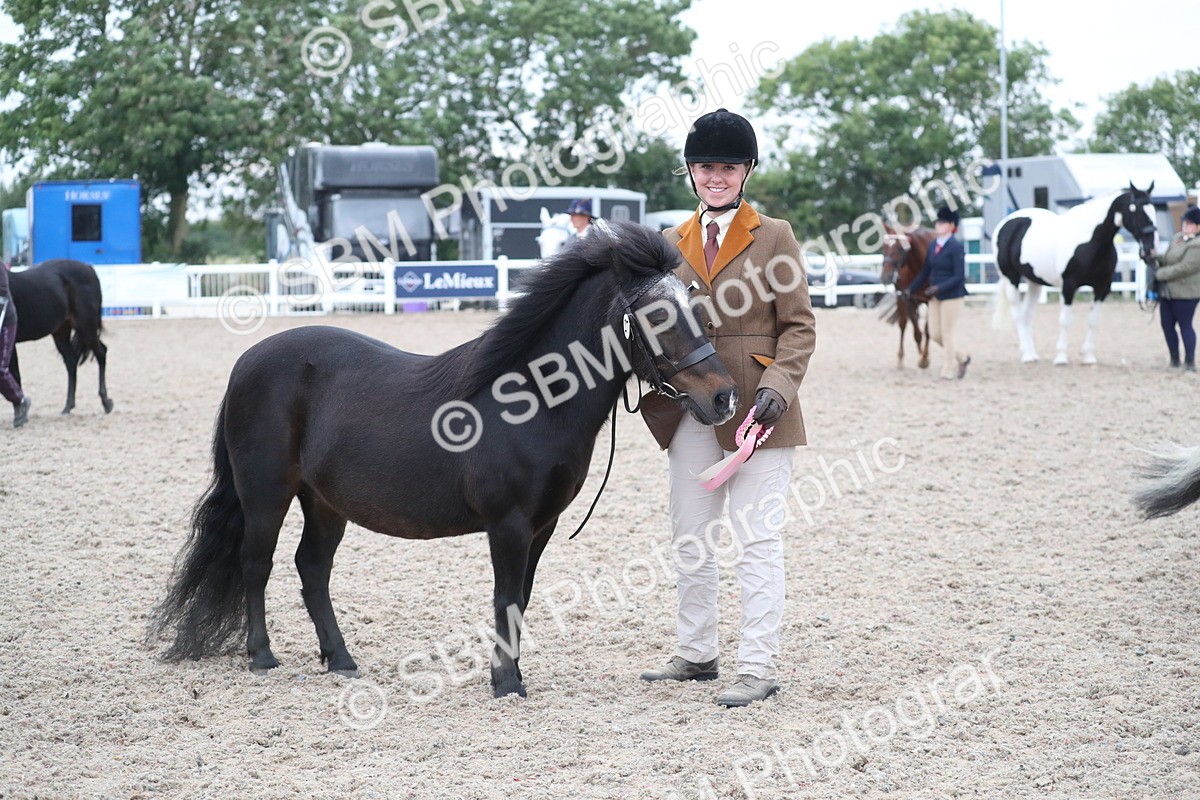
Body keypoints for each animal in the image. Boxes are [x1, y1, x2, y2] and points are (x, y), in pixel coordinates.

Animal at [9, 259, 114, 415]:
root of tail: (89, 268)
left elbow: (15, 375)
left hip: (86, 327)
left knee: (101, 353)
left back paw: (106, 402)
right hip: (61, 332)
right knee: (71, 362)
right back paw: (68, 406)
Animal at [149, 220, 738, 700]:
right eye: (657, 314)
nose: (724, 398)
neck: (530, 397)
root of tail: (247, 360)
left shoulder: (541, 527)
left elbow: (521, 599)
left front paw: (513, 675)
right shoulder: (508, 525)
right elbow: (505, 598)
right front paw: (504, 683)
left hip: (324, 502)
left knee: (311, 568)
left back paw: (340, 659)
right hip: (266, 492)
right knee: (257, 562)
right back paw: (262, 655)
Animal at [878, 225, 936, 369]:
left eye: (900, 248)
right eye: (884, 247)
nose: (886, 277)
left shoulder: (932, 301)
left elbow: (927, 330)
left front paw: (924, 357)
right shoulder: (908, 299)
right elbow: (917, 333)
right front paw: (922, 357)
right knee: (903, 324)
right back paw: (901, 357)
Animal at [992, 183, 1158, 365]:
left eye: (1153, 209)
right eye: (1136, 209)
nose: (1151, 248)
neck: (1091, 240)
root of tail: (1006, 223)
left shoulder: (1102, 288)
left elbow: (1093, 321)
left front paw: (1088, 357)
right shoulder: (1068, 286)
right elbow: (1065, 321)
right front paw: (1061, 357)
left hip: (1034, 281)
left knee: (1027, 315)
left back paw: (1032, 354)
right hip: (1011, 277)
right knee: (1018, 315)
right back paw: (1027, 355)